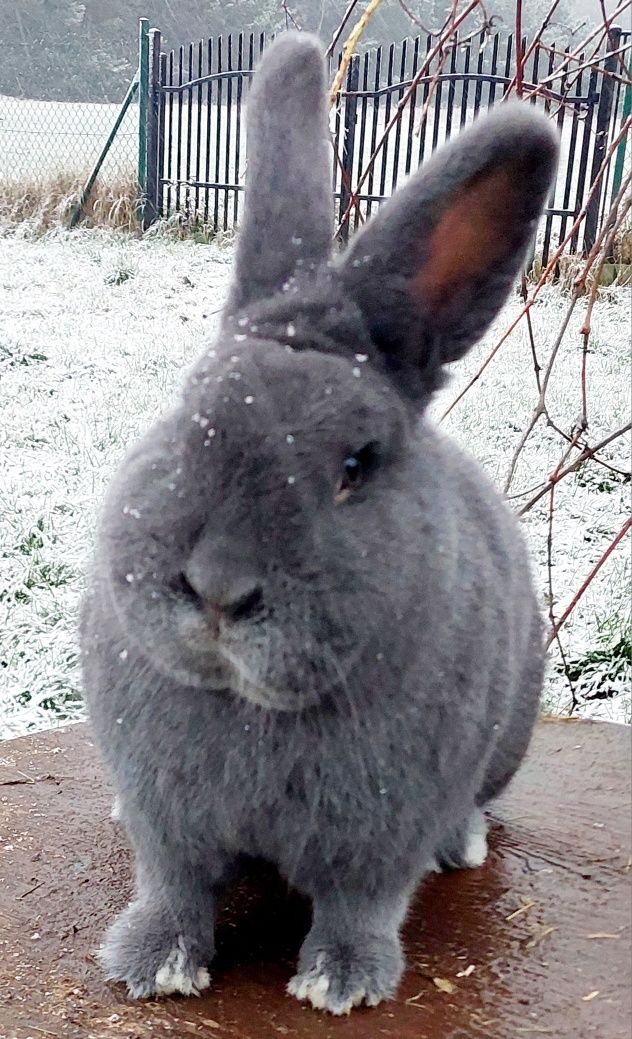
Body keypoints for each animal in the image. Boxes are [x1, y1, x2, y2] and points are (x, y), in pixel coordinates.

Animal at [80, 30, 557, 1014]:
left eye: (355, 467)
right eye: (190, 406)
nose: (219, 588)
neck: (252, 705)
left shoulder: (380, 835)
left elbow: (361, 902)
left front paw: (339, 983)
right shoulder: (166, 820)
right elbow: (172, 888)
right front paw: (150, 966)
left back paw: (463, 844)